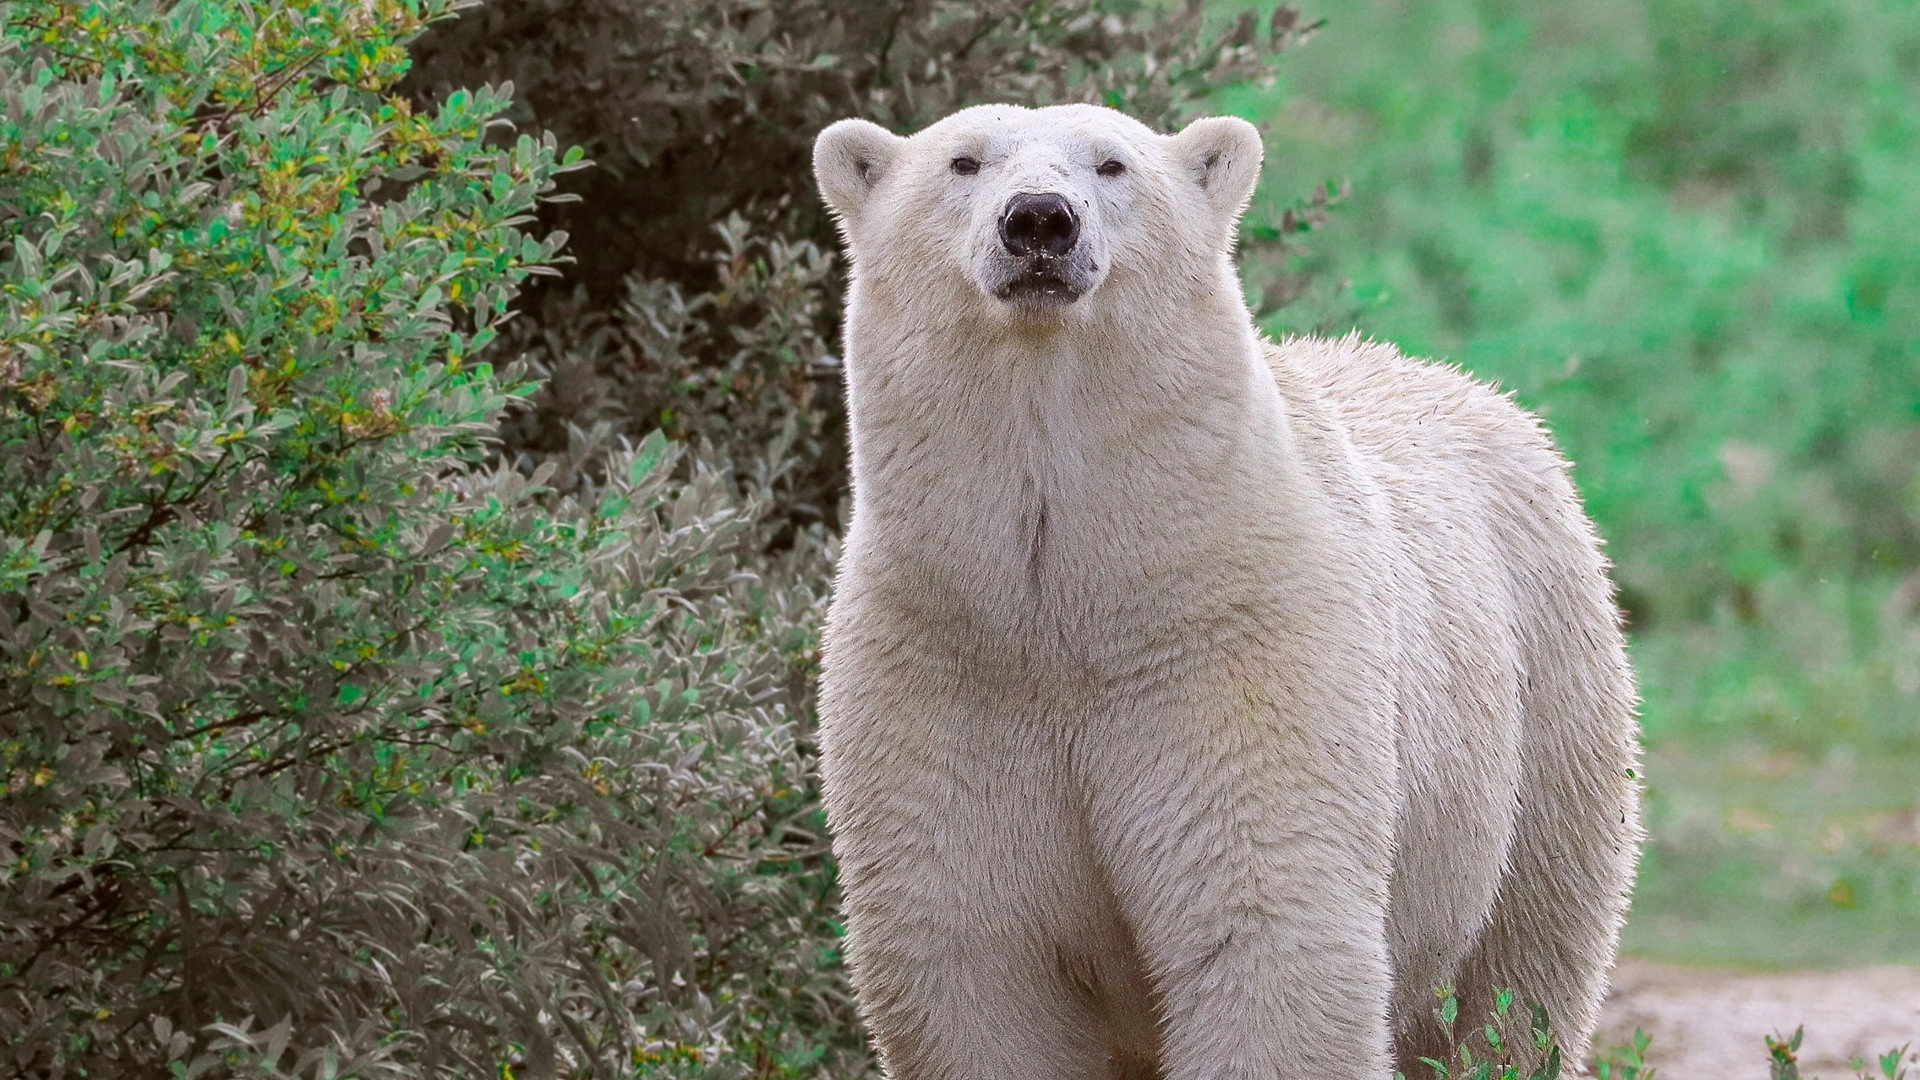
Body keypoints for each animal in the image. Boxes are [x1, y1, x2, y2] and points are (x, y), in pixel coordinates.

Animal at [810, 103, 1643, 1080]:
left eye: (1113, 163)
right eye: (964, 162)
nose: (1041, 221)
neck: (1070, 603)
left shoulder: (1236, 649)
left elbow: (1261, 935)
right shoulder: (942, 662)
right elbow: (970, 963)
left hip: (1548, 703)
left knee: (1515, 980)